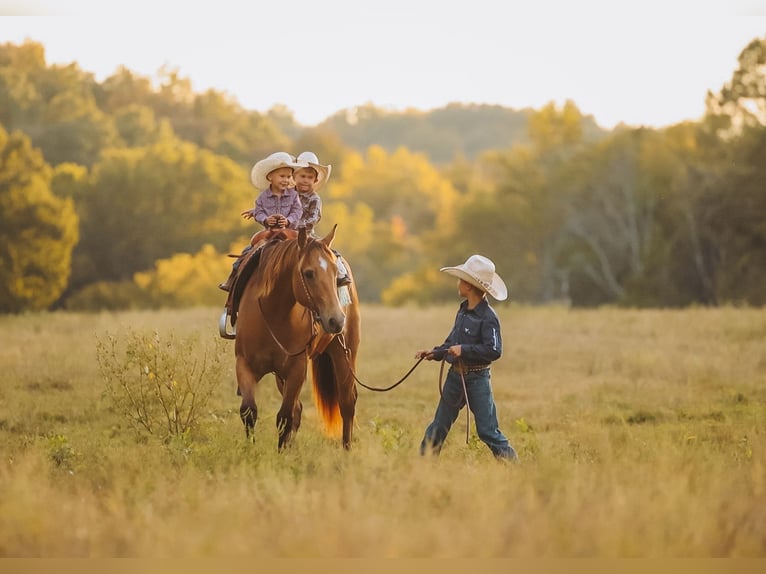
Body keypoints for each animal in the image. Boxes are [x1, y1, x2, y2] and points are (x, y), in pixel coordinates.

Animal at [232, 225, 361, 450]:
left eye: (335, 273)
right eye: (308, 273)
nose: (336, 320)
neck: (274, 312)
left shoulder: (296, 370)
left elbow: (285, 417)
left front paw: (281, 453)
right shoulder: (244, 364)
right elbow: (249, 411)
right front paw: (250, 451)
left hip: (344, 354)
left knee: (347, 403)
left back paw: (346, 450)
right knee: (299, 409)